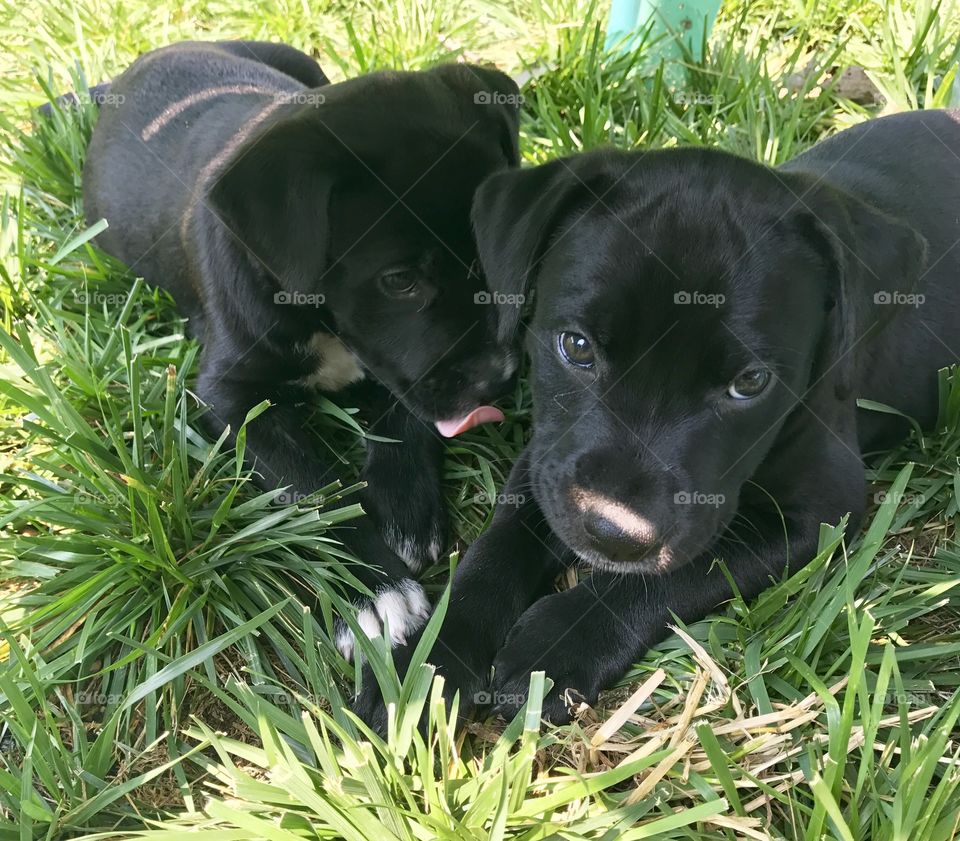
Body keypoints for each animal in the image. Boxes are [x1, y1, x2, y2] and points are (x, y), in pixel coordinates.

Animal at [80, 41, 516, 656]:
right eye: (400, 280)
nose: (502, 377)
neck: (319, 319)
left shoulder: (402, 373)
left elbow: (403, 413)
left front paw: (405, 509)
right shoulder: (230, 397)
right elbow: (313, 490)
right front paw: (376, 590)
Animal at [356, 105, 960, 720]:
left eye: (751, 383)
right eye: (576, 346)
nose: (614, 534)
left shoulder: (821, 508)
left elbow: (684, 569)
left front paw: (556, 644)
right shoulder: (548, 457)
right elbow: (495, 550)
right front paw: (423, 669)